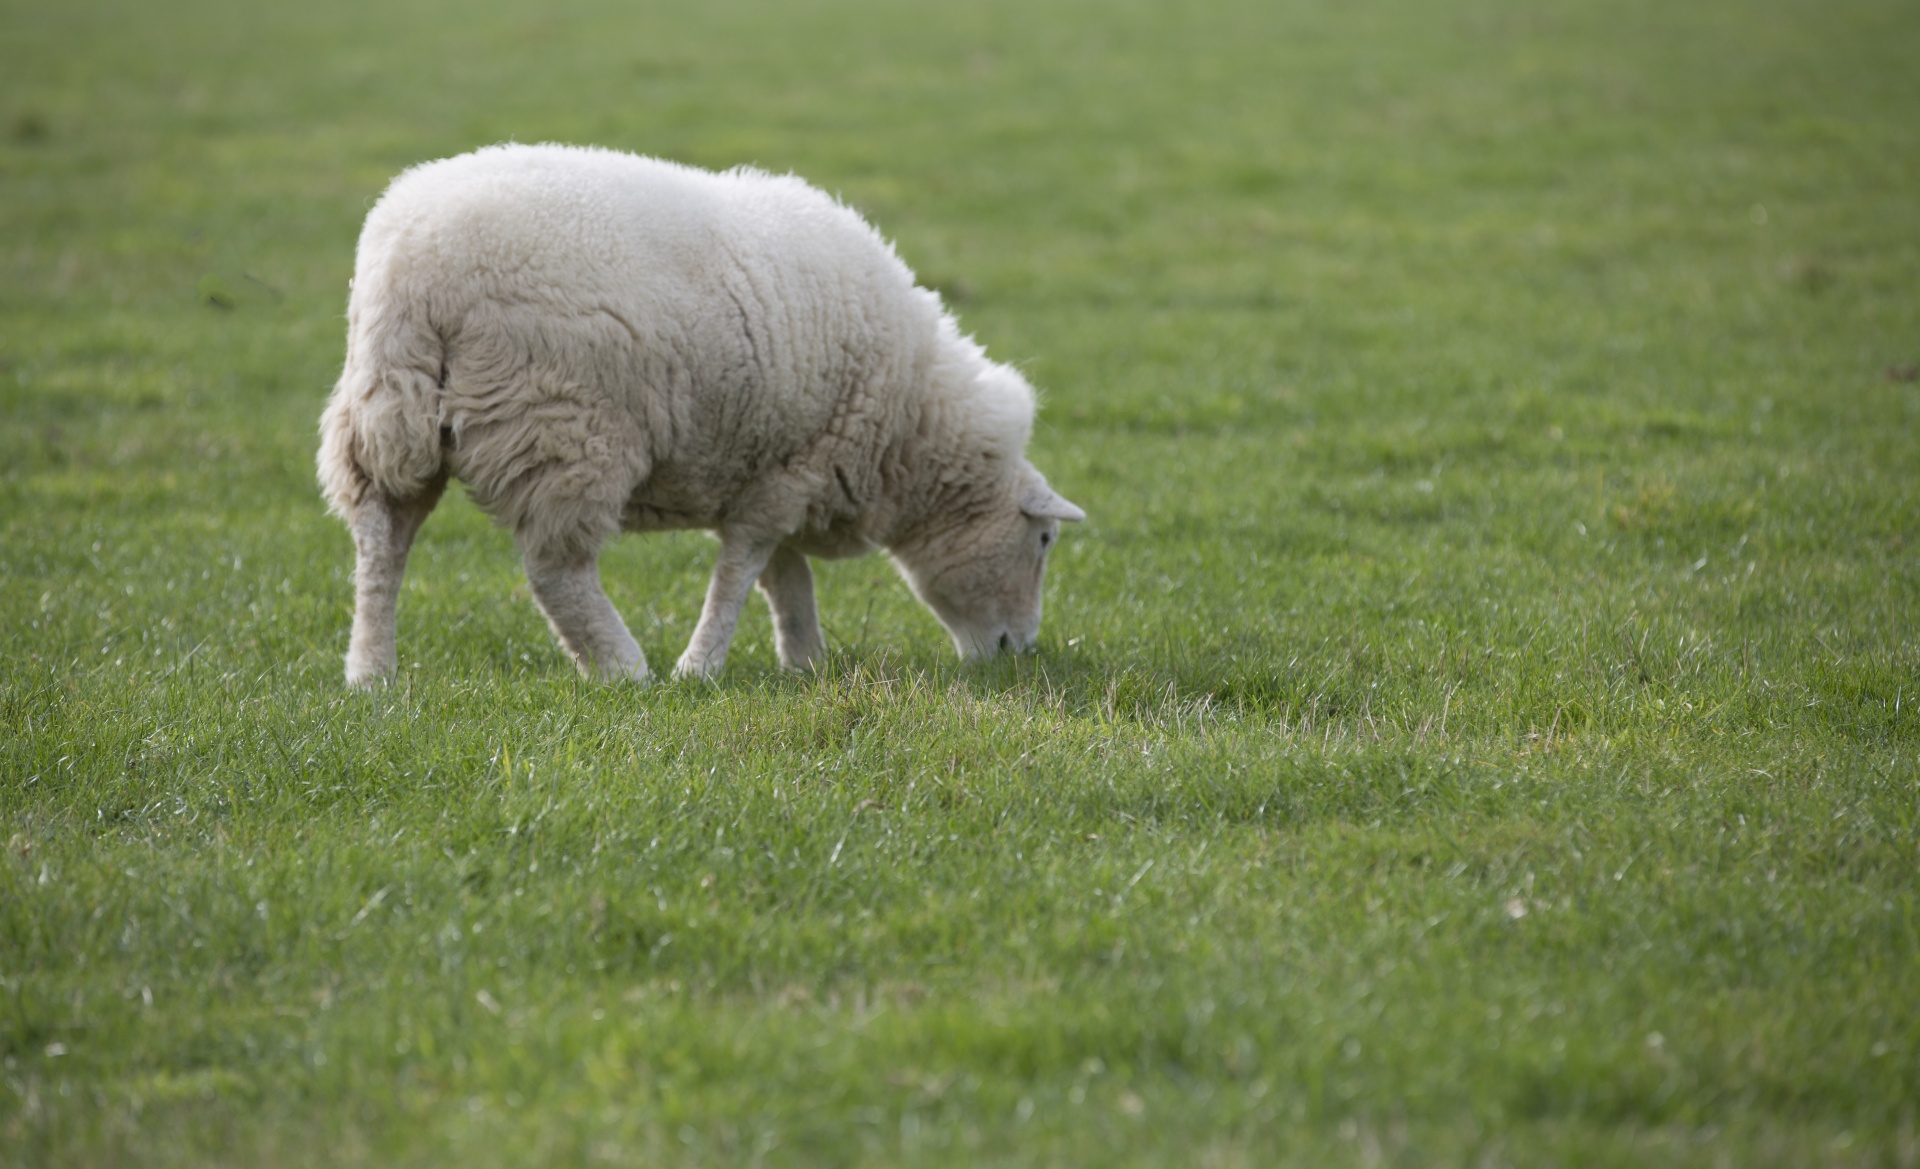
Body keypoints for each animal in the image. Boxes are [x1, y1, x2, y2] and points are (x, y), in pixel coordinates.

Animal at [322, 143, 1090, 683]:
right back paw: (624, 669)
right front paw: (703, 666)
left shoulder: (775, 464)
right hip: (566, 428)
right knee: (554, 569)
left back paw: (371, 674)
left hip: (385, 414)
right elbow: (745, 569)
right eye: (1044, 540)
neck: (909, 425)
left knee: (381, 542)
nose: (1018, 651)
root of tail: (411, 272)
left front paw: (804, 660)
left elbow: (785, 575)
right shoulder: (795, 464)